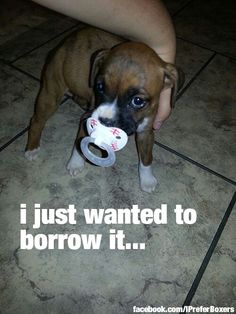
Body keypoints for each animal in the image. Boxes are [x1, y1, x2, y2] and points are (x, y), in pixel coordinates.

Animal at [24, 27, 183, 193]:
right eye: (100, 87)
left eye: (137, 101)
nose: (104, 121)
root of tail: (64, 44)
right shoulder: (86, 119)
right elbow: (79, 143)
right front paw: (76, 163)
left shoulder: (146, 131)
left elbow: (146, 157)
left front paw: (147, 179)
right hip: (50, 95)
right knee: (36, 121)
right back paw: (32, 148)